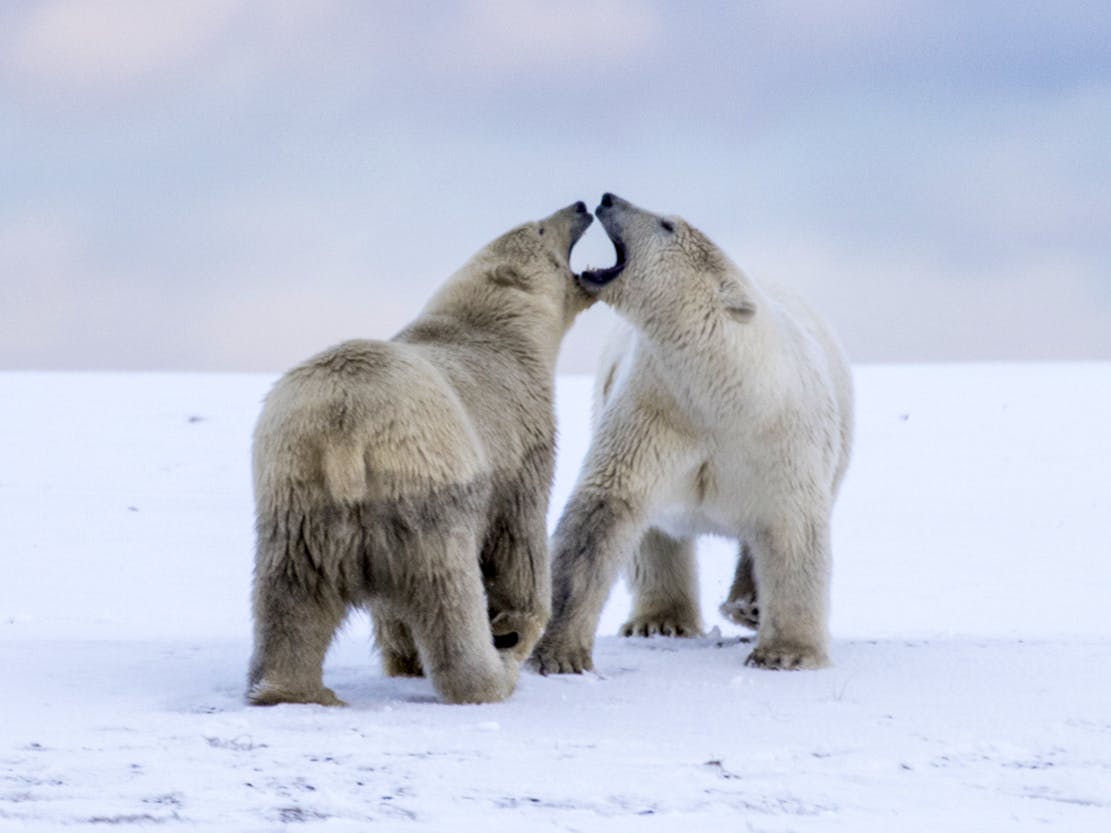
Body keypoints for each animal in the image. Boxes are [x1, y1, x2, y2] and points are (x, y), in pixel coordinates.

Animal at [248, 201, 594, 706]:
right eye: (541, 229)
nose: (582, 205)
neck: (493, 328)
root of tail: (345, 424)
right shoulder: (520, 441)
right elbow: (519, 546)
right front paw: (513, 632)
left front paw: (404, 661)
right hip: (425, 494)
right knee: (448, 590)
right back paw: (489, 678)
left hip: (297, 495)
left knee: (291, 593)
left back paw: (289, 690)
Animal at [530, 193, 853, 673]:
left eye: (667, 225)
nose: (607, 198)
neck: (722, 391)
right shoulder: (656, 410)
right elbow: (606, 508)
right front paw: (557, 653)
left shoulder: (782, 434)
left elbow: (791, 527)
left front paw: (786, 653)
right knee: (658, 537)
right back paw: (660, 621)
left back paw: (747, 604)